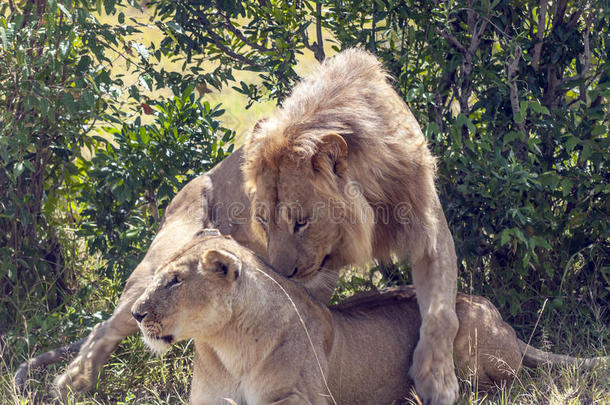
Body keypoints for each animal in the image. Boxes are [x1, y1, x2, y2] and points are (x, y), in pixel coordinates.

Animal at [132, 234, 604, 404]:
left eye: (174, 280)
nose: (136, 313)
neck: (228, 346)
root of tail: (495, 312)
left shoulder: (303, 400)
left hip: (465, 330)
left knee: (504, 384)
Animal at [242, 48, 456, 400]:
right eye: (262, 220)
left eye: (301, 222)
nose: (283, 275)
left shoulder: (431, 232)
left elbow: (442, 314)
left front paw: (438, 383)